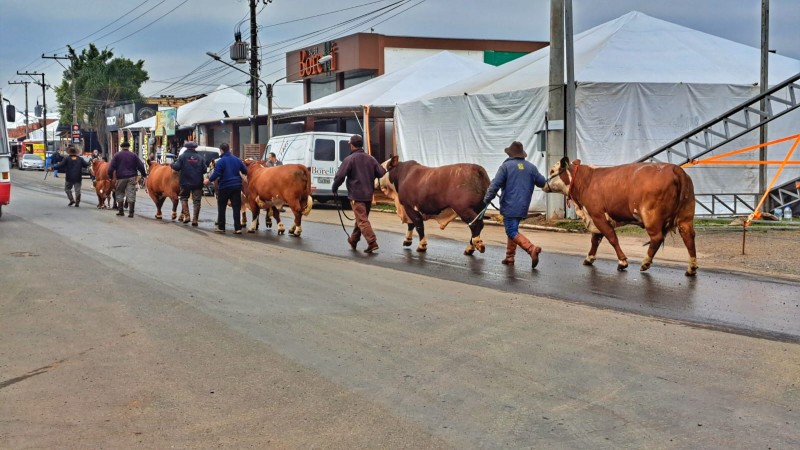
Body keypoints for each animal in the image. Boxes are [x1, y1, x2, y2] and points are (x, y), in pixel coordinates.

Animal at [540, 156, 696, 276]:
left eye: (552, 170)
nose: (543, 184)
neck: (586, 180)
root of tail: (675, 168)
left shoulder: (598, 215)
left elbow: (611, 238)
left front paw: (622, 261)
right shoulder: (595, 218)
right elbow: (595, 240)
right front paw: (589, 258)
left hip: (651, 217)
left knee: (657, 238)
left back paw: (645, 263)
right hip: (685, 217)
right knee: (688, 236)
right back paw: (691, 268)